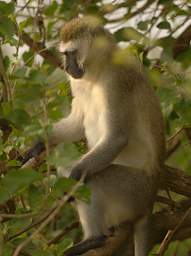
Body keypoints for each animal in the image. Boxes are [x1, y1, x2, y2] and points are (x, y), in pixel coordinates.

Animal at [22, 16, 166, 256]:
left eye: (71, 53)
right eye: (65, 54)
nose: (66, 67)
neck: (99, 68)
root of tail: (149, 200)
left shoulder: (118, 79)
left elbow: (116, 138)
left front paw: (72, 183)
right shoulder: (77, 82)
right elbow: (77, 125)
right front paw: (38, 144)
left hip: (135, 191)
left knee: (92, 179)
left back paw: (94, 239)